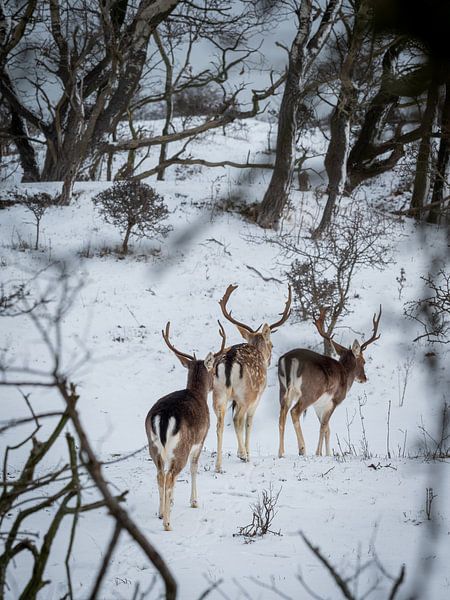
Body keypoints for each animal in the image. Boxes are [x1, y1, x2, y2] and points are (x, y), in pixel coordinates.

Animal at [146, 322, 227, 532]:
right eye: (213, 369)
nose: (214, 384)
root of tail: (164, 416)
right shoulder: (201, 439)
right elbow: (194, 467)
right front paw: (194, 502)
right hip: (181, 447)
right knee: (170, 476)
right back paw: (167, 524)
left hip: (153, 446)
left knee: (160, 474)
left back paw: (161, 513)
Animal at [214, 284, 292, 472]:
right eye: (272, 344)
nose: (269, 359)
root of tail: (229, 360)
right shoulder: (257, 397)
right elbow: (249, 423)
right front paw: (245, 454)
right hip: (246, 394)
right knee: (237, 419)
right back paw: (243, 455)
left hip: (218, 393)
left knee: (219, 423)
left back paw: (218, 466)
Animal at [278, 308, 380, 458]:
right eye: (363, 361)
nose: (364, 378)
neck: (346, 375)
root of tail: (289, 359)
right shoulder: (334, 400)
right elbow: (324, 426)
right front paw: (319, 453)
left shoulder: (319, 405)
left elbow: (327, 428)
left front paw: (327, 453)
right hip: (310, 392)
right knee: (295, 412)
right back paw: (302, 449)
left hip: (283, 389)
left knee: (282, 415)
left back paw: (281, 452)